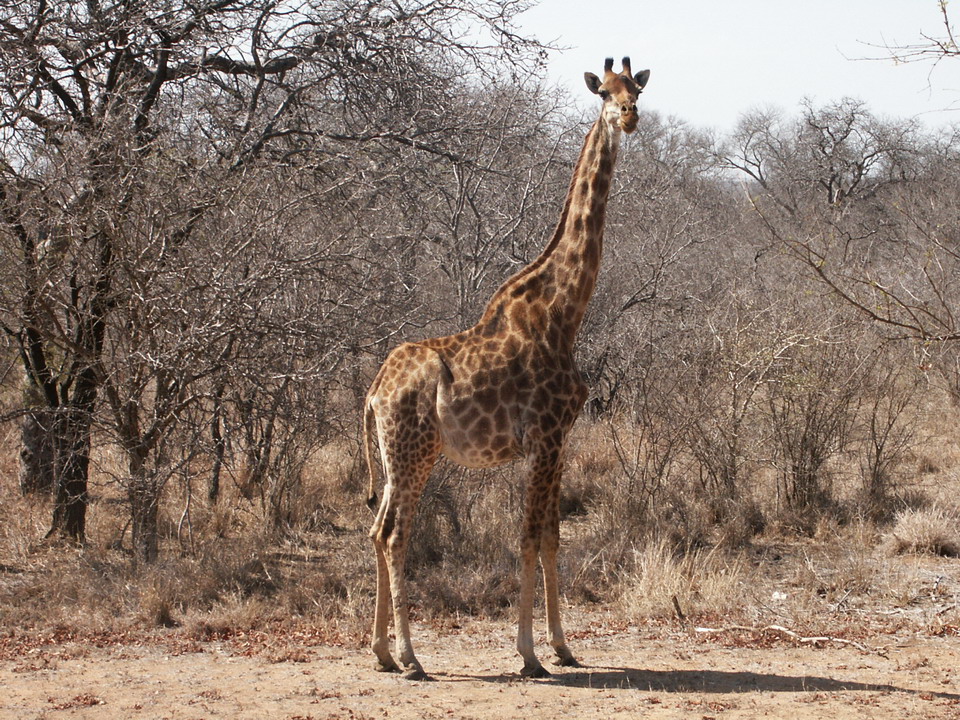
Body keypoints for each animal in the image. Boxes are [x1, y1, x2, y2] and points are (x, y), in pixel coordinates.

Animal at [364, 57, 648, 680]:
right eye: (604, 93)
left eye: (637, 89)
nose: (629, 117)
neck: (565, 313)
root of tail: (372, 392)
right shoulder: (544, 436)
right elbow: (527, 537)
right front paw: (528, 654)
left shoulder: (559, 439)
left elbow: (552, 537)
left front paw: (563, 646)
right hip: (416, 452)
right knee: (395, 536)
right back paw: (411, 657)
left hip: (394, 459)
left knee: (375, 528)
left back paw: (381, 653)